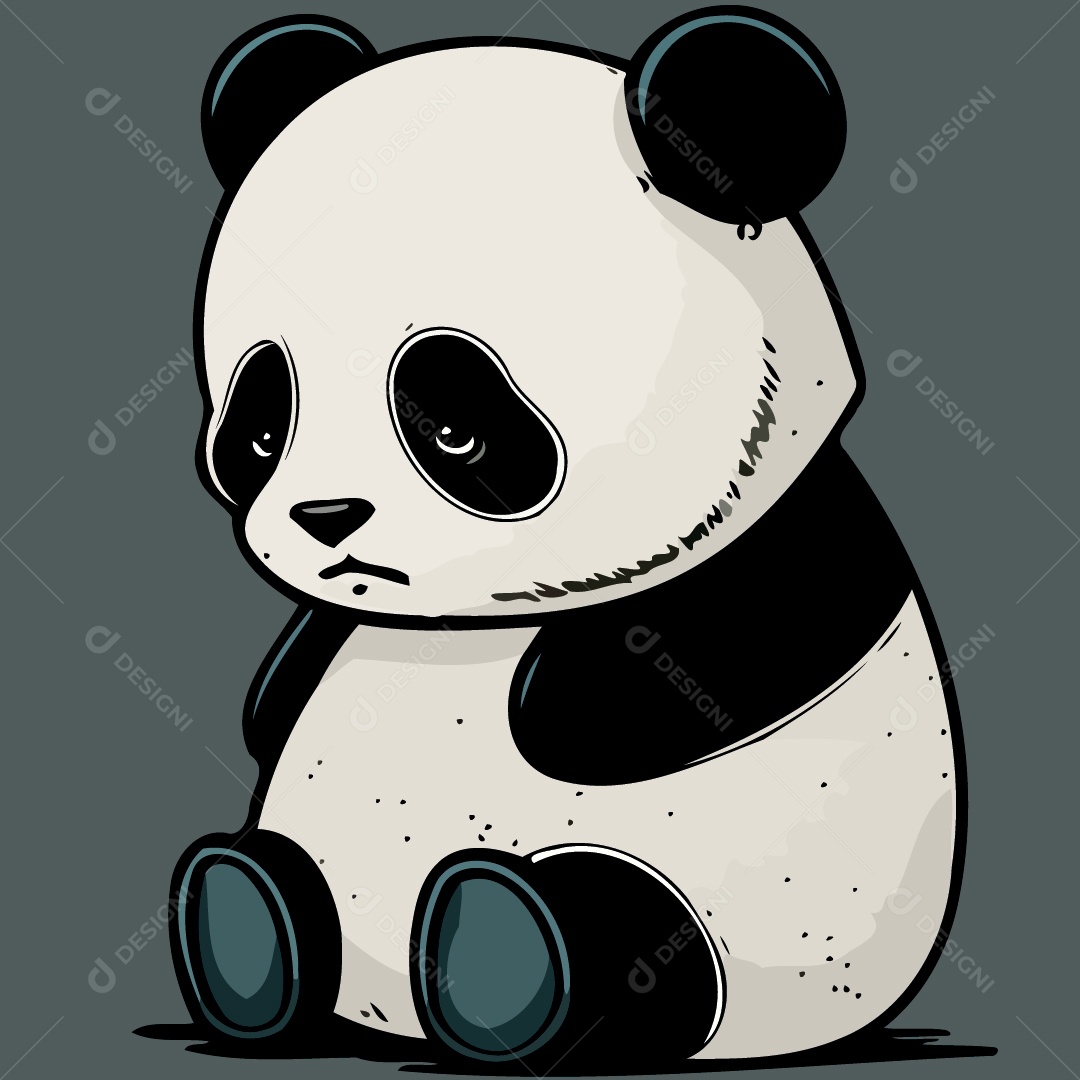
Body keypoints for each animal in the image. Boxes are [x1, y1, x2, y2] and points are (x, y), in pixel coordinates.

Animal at [170, 7, 965, 1068]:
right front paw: (276, 689)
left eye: (453, 428)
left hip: (739, 915)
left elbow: (720, 655)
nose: (325, 518)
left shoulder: (795, 538)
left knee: (630, 932)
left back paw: (505, 955)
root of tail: (384, 1005)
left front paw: (551, 696)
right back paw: (245, 924)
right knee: (288, 875)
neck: (467, 624)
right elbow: (291, 681)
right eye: (263, 427)